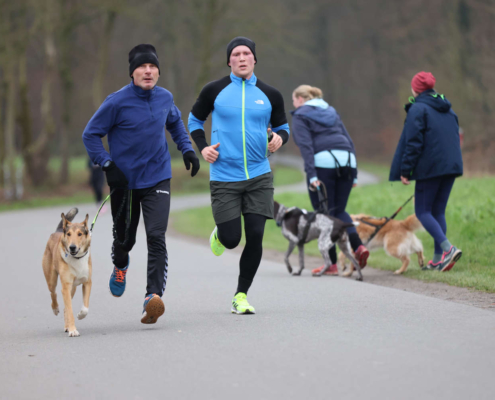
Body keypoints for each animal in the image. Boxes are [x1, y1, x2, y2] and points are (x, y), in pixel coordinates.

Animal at [42, 209, 91, 338]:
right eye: (68, 234)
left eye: (80, 234)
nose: (72, 247)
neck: (77, 258)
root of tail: (58, 231)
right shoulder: (66, 286)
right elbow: (70, 310)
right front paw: (73, 330)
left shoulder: (87, 283)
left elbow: (85, 308)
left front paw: (80, 315)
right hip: (52, 279)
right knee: (53, 293)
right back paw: (55, 309)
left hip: (73, 288)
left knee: (64, 308)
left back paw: (67, 326)